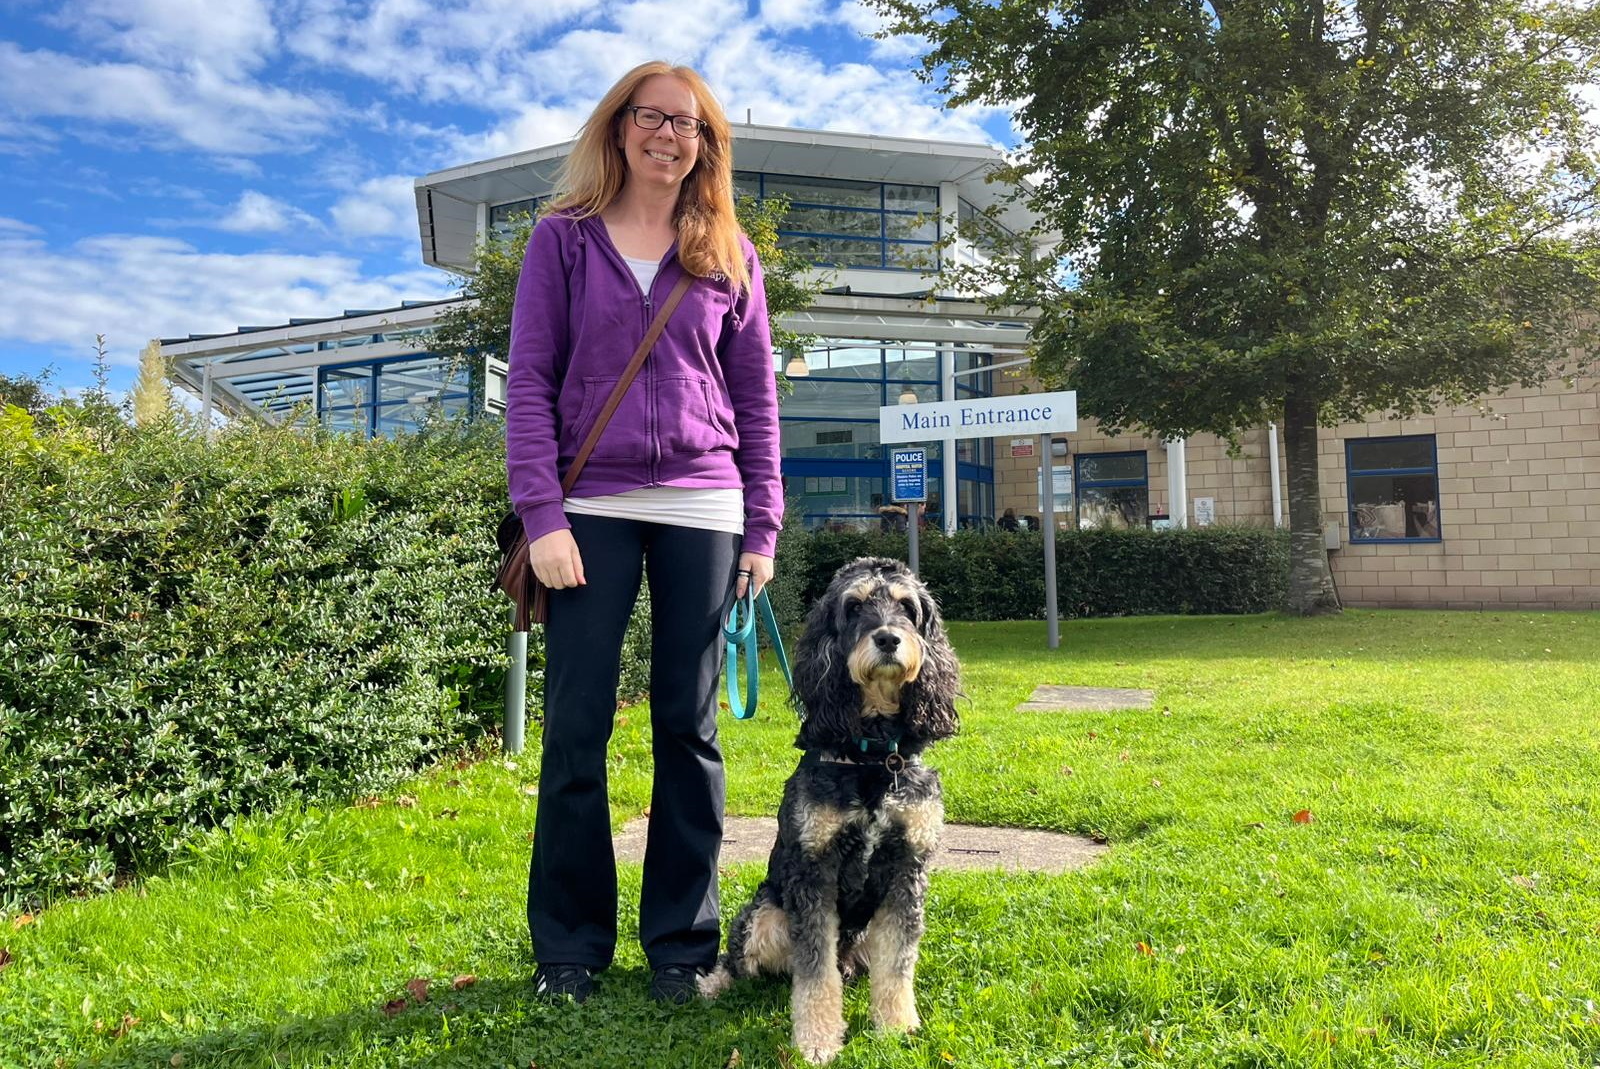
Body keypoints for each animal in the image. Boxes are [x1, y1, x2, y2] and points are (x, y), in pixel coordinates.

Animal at [697, 560, 947, 1062]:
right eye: (853, 607)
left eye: (908, 607)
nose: (887, 638)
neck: (873, 758)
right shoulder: (814, 870)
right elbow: (815, 973)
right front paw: (816, 1041)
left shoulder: (906, 871)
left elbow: (898, 962)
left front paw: (896, 1026)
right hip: (767, 914)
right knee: (742, 960)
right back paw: (714, 983)